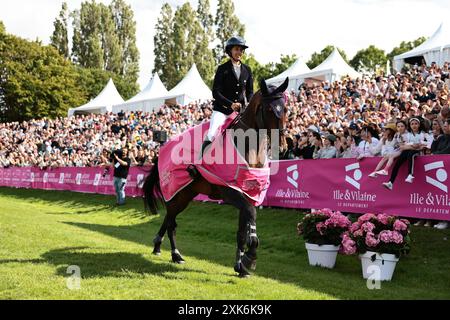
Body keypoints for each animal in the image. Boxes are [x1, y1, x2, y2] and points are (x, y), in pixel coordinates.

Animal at [143, 77, 288, 278]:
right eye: (268, 110)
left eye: (285, 109)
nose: (281, 145)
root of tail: (164, 146)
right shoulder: (231, 192)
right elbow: (251, 214)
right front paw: (250, 256)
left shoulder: (248, 194)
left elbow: (241, 231)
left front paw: (240, 266)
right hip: (176, 193)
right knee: (171, 223)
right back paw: (175, 255)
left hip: (185, 195)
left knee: (169, 219)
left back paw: (158, 246)